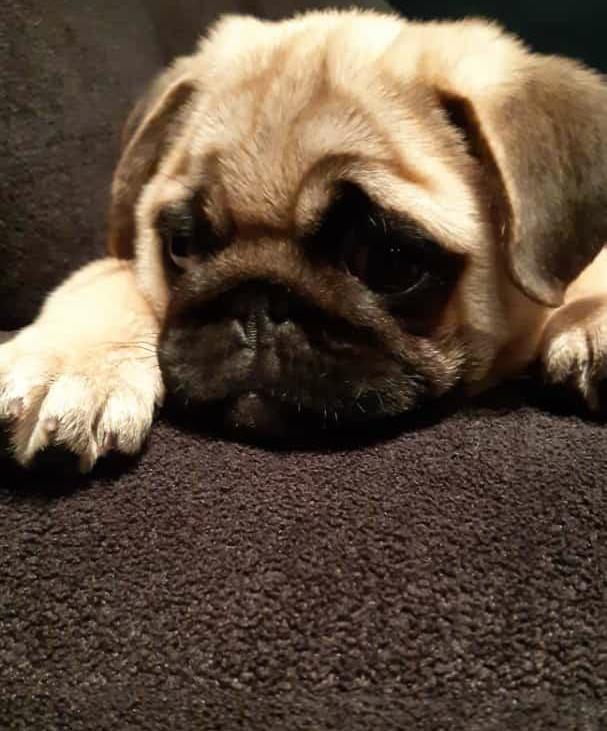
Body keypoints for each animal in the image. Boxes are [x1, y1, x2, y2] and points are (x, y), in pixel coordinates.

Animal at [1, 9, 607, 471]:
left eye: (390, 260)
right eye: (181, 246)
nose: (257, 304)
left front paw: (589, 320)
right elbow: (104, 277)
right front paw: (78, 361)